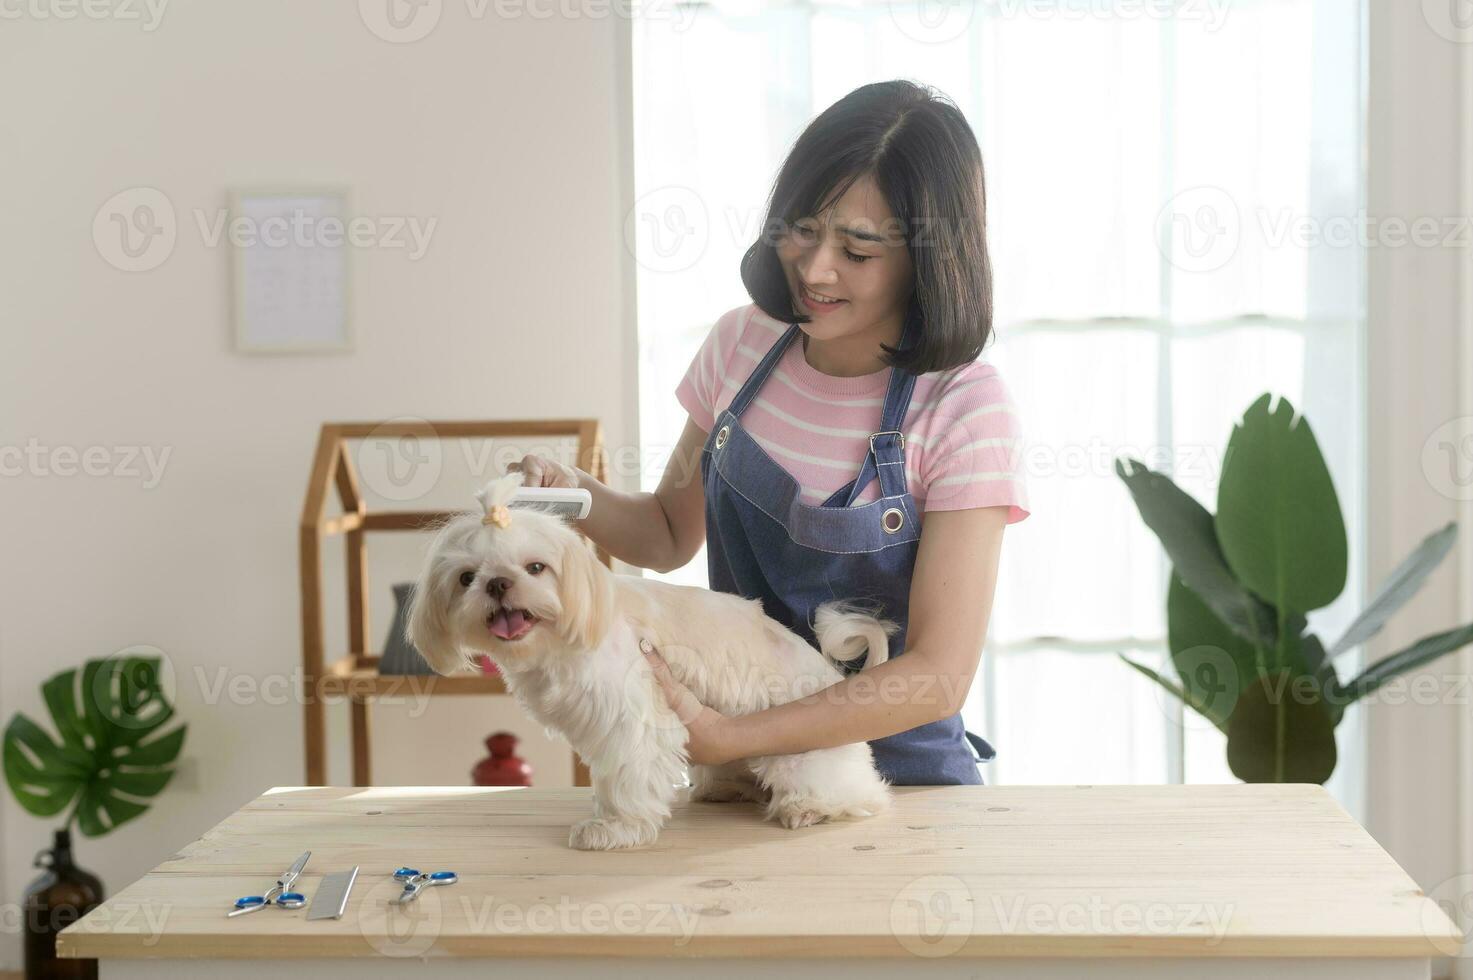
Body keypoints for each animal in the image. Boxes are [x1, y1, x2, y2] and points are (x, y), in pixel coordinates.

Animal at [409, 471, 895, 842]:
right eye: (466, 577)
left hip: (799, 754)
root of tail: (831, 675)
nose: (497, 583)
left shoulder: (629, 718)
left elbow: (627, 773)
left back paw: (808, 807)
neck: (561, 645)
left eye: (535, 568)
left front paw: (614, 828)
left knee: (863, 795)